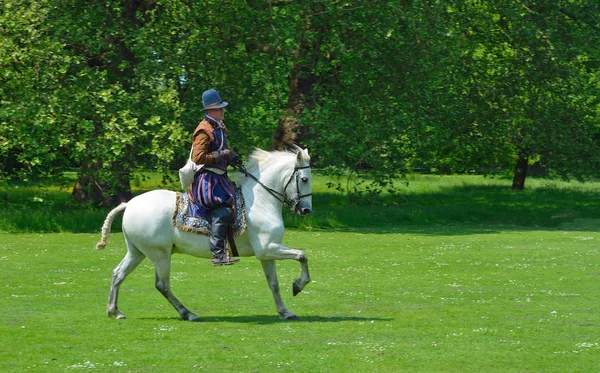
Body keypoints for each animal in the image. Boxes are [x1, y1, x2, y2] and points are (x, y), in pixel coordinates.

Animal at [96, 147, 312, 322]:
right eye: (304, 179)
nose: (306, 210)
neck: (260, 201)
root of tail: (129, 204)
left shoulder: (267, 253)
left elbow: (274, 283)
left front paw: (285, 311)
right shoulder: (268, 249)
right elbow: (302, 255)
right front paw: (298, 285)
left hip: (137, 252)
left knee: (118, 274)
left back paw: (115, 311)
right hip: (160, 255)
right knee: (162, 285)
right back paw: (188, 314)